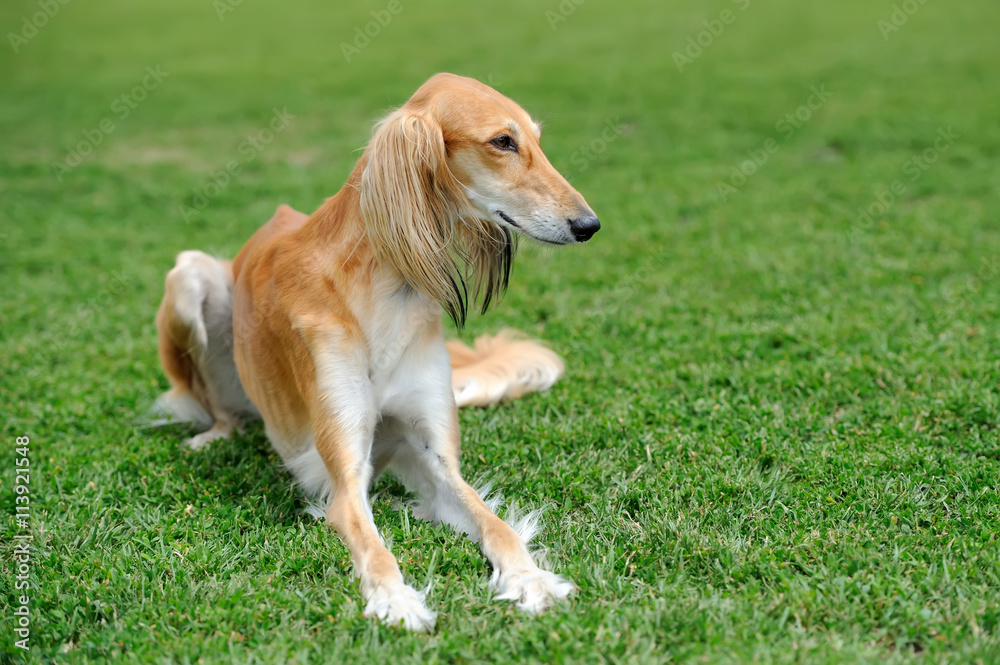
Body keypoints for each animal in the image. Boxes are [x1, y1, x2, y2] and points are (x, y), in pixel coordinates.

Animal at [152, 72, 596, 628]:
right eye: (502, 142)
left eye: (535, 138)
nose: (589, 224)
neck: (386, 288)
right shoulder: (345, 480)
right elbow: (375, 548)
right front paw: (396, 599)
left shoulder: (435, 457)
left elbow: (495, 524)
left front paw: (529, 578)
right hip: (188, 275)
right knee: (210, 404)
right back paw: (213, 434)